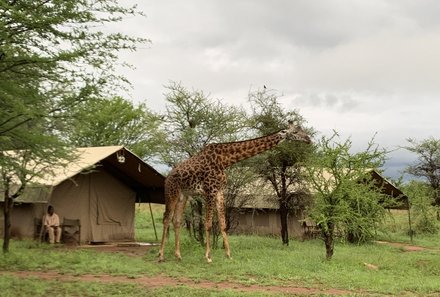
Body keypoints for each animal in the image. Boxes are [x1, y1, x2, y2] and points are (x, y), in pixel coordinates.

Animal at [157, 120, 310, 262]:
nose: (308, 139)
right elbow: (208, 224)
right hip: (171, 192)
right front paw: (208, 257)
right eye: (295, 132)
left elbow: (223, 225)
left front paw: (229, 255)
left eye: (301, 129)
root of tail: (167, 177)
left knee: (176, 221)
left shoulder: (219, 191)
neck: (225, 160)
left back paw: (178, 255)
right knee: (166, 219)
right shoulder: (209, 190)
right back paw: (161, 255)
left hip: (183, 195)